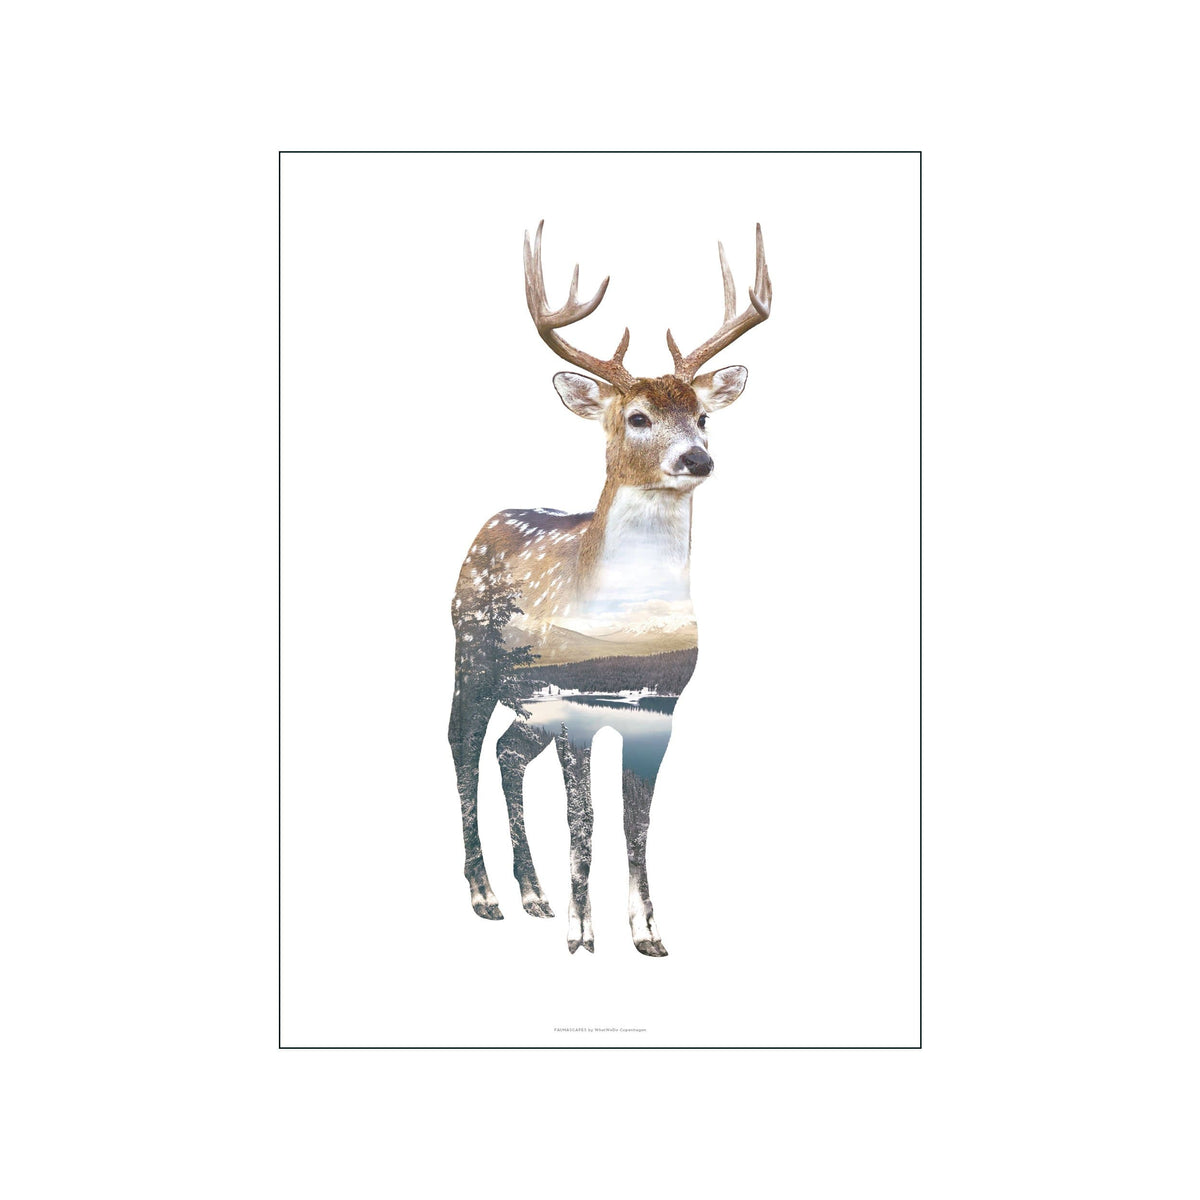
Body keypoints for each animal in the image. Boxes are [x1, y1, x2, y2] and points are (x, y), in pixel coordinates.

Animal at [449, 220, 771, 956]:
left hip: (530, 705)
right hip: (470, 658)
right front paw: (583, 933)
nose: (699, 459)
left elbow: (637, 821)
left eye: (704, 417)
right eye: (638, 417)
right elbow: (585, 817)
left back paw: (532, 896)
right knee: (461, 748)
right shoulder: (578, 704)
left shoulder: (658, 708)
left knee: (507, 754)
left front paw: (647, 932)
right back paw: (486, 897)